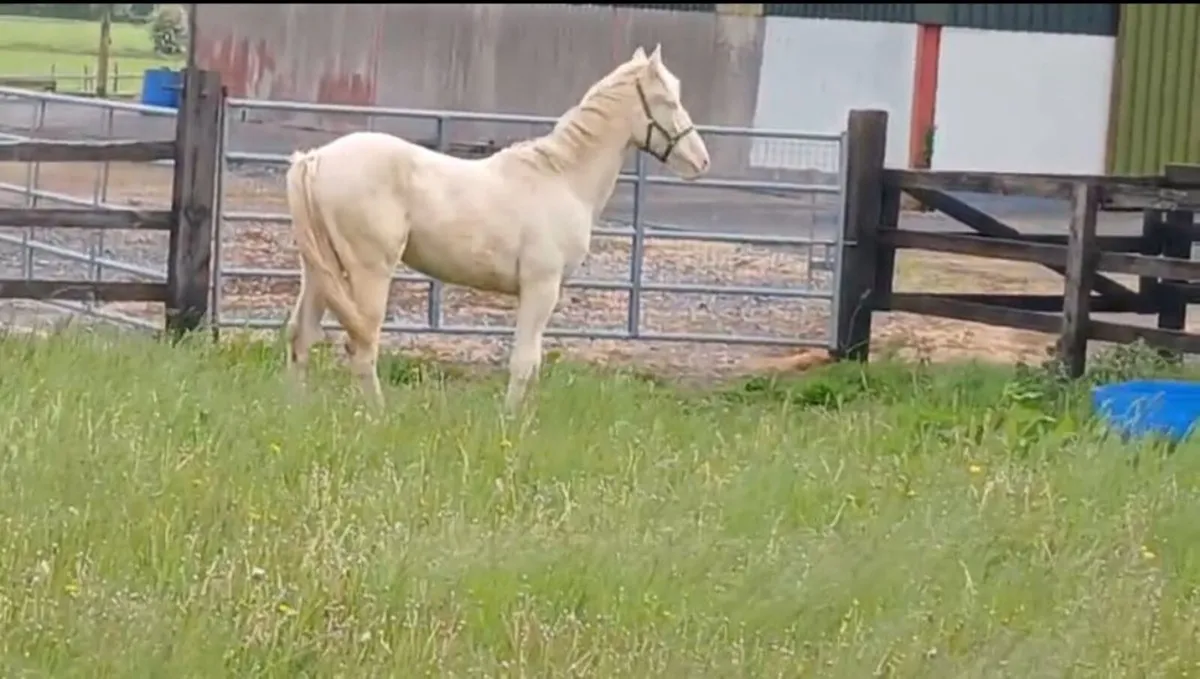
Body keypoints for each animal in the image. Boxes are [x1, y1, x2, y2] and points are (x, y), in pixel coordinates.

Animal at [283, 44, 711, 413]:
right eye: (669, 101)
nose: (701, 161)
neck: (562, 178)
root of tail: (314, 159)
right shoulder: (541, 287)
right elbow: (523, 362)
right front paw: (511, 423)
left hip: (320, 271)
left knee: (303, 336)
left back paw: (300, 413)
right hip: (368, 272)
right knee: (362, 345)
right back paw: (377, 417)